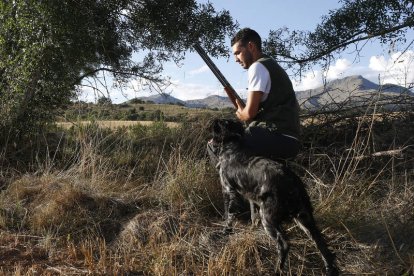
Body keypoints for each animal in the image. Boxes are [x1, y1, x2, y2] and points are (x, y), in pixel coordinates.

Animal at [209, 119, 338, 276]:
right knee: (321, 243)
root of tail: (292, 181)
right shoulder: (251, 197)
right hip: (305, 218)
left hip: (268, 217)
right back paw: (329, 268)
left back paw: (278, 269)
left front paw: (226, 231)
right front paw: (252, 227)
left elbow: (229, 214)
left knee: (284, 244)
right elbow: (252, 214)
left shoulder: (229, 191)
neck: (233, 145)